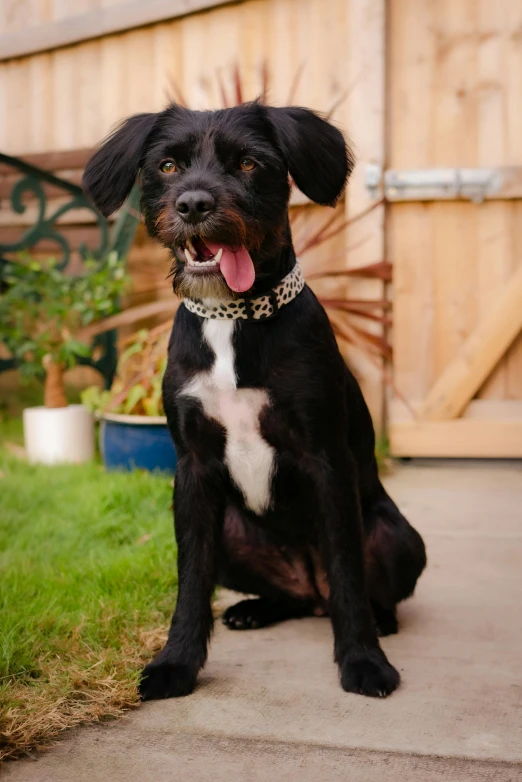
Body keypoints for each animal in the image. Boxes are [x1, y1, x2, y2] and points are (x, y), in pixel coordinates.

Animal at [83, 101, 424, 700]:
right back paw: (254, 609)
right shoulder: (192, 470)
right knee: (289, 596)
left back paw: (379, 621)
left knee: (357, 587)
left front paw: (363, 660)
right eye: (168, 166)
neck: (232, 317)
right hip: (235, 538)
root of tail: (311, 589)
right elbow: (190, 580)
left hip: (400, 538)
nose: (194, 204)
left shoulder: (327, 461)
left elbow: (347, 570)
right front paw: (175, 663)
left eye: (247, 162)